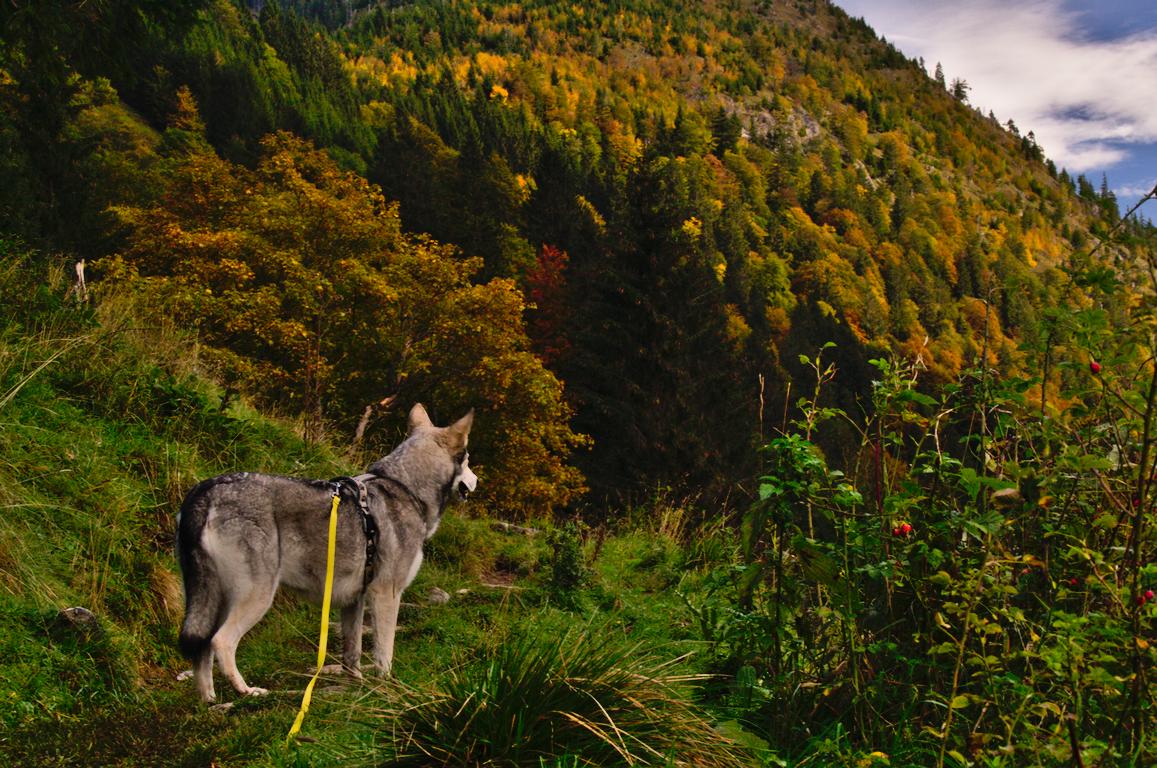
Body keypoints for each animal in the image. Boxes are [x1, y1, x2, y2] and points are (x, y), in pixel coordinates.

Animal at [176, 403, 475, 703]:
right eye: (469, 460)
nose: (476, 481)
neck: (407, 487)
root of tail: (205, 490)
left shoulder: (354, 600)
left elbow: (352, 654)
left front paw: (357, 684)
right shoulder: (386, 594)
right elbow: (384, 653)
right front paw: (387, 688)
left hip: (212, 599)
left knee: (202, 648)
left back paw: (209, 701)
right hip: (257, 596)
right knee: (221, 642)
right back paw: (246, 691)